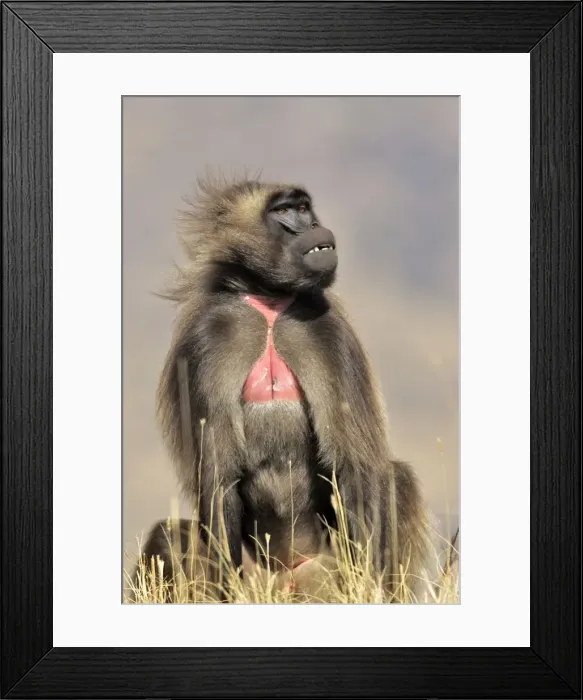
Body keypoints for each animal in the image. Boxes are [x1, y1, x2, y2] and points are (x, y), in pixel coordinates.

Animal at [142, 177, 430, 599]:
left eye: (305, 207)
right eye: (283, 211)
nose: (315, 226)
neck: (269, 303)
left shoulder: (325, 329)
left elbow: (353, 465)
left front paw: (365, 590)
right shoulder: (208, 339)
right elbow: (217, 480)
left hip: (323, 574)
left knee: (393, 479)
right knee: (168, 535)